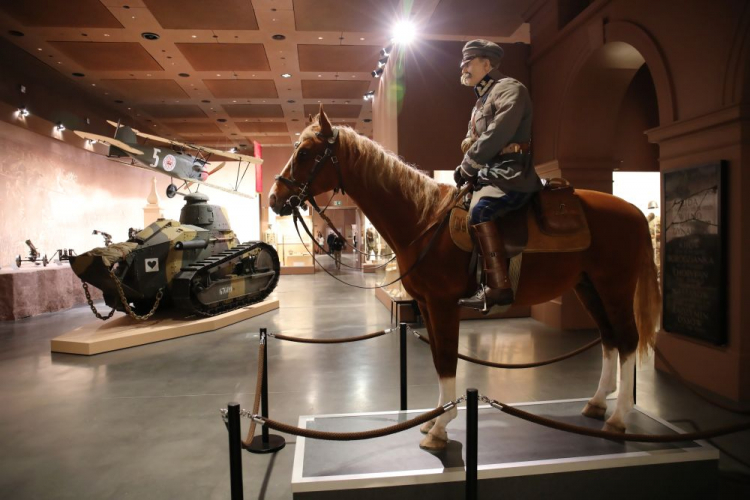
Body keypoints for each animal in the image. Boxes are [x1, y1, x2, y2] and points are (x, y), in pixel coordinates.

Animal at [272, 111, 664, 452]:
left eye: (304, 153)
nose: (276, 198)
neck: (425, 219)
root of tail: (633, 212)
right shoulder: (427, 306)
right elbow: (437, 359)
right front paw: (434, 420)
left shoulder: (444, 305)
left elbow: (447, 361)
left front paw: (440, 430)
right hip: (588, 288)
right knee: (609, 339)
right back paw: (597, 403)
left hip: (614, 288)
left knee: (628, 340)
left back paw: (618, 418)